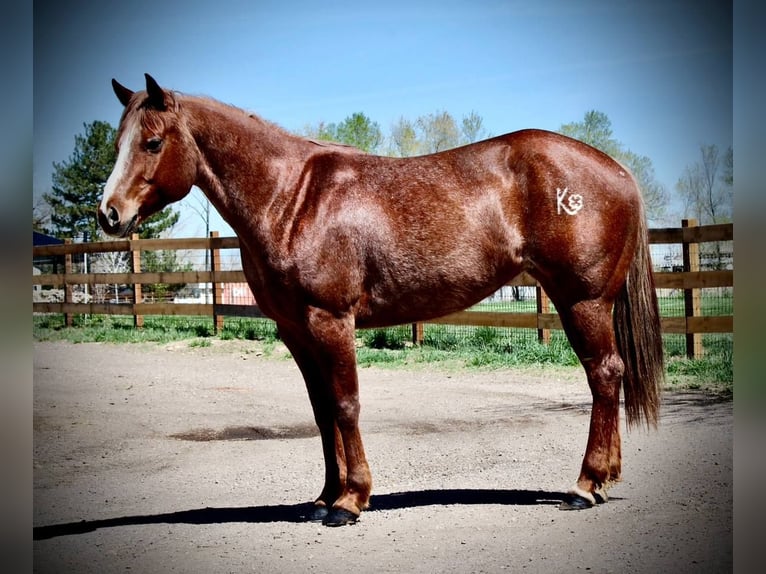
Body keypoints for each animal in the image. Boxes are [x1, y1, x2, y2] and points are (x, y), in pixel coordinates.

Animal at [98, 74, 663, 526]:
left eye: (152, 142)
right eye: (119, 142)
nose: (109, 214)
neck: (291, 198)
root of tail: (617, 170)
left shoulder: (331, 320)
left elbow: (346, 404)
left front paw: (351, 502)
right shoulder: (295, 330)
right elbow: (322, 410)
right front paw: (324, 498)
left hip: (583, 301)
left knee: (603, 375)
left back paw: (585, 486)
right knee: (607, 377)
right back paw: (603, 480)